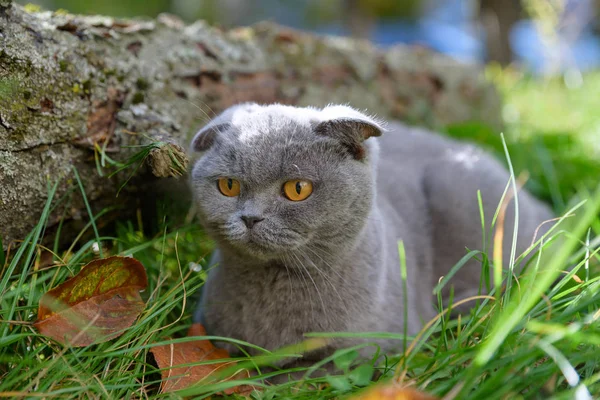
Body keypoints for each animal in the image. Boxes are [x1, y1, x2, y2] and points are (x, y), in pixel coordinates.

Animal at [190, 103, 556, 368]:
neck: (273, 287)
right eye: (228, 185)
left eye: (297, 189)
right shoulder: (208, 329)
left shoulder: (376, 346)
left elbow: (311, 369)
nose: (250, 218)